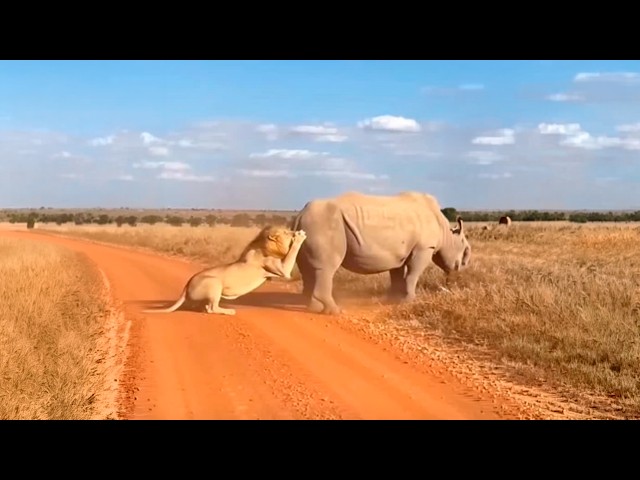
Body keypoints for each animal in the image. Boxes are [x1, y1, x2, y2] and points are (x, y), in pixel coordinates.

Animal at [142, 225, 307, 316]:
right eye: (286, 232)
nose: (294, 231)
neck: (264, 244)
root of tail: (187, 285)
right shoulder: (281, 269)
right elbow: (292, 253)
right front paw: (300, 237)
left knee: (207, 307)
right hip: (214, 282)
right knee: (212, 308)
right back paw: (229, 311)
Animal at [290, 191, 472, 315]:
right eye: (465, 252)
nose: (461, 270)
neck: (447, 234)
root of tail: (301, 214)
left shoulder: (399, 253)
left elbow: (397, 274)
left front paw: (393, 300)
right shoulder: (425, 248)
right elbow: (413, 274)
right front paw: (409, 301)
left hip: (310, 226)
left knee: (309, 269)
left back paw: (313, 308)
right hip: (324, 223)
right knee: (326, 268)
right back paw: (335, 311)